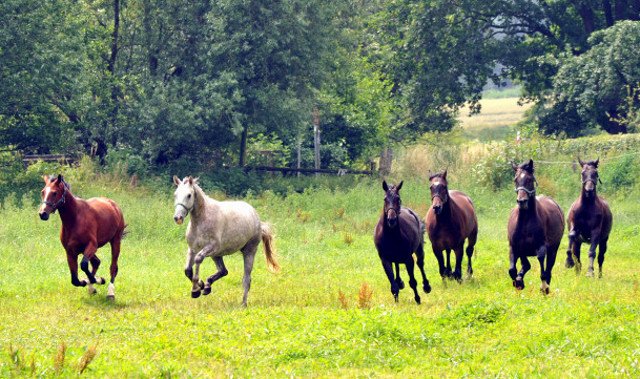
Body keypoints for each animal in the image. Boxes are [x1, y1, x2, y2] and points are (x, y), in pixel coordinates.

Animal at [171, 177, 278, 308]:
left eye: (189, 195)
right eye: (176, 194)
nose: (178, 218)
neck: (201, 220)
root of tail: (258, 220)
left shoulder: (210, 247)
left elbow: (198, 259)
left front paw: (195, 290)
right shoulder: (192, 249)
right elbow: (187, 270)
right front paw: (201, 285)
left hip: (249, 251)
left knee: (246, 279)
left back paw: (243, 303)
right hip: (216, 255)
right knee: (223, 271)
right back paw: (207, 286)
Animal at [508, 160, 564, 294]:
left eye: (529, 179)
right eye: (515, 179)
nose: (522, 201)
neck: (525, 222)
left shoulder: (541, 247)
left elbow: (542, 266)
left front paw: (544, 287)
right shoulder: (514, 247)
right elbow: (512, 270)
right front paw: (518, 282)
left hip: (553, 249)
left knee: (548, 269)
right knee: (526, 265)